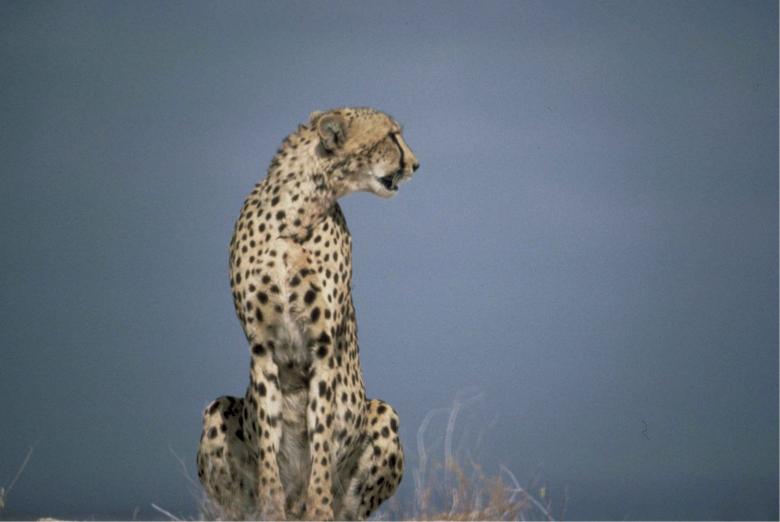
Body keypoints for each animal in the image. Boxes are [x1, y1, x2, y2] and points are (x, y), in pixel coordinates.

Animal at [197, 107, 420, 520]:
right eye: (391, 136)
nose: (415, 164)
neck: (297, 213)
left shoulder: (323, 348)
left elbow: (321, 441)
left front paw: (319, 508)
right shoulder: (262, 348)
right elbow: (269, 438)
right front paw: (271, 506)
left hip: (383, 415)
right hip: (217, 411)